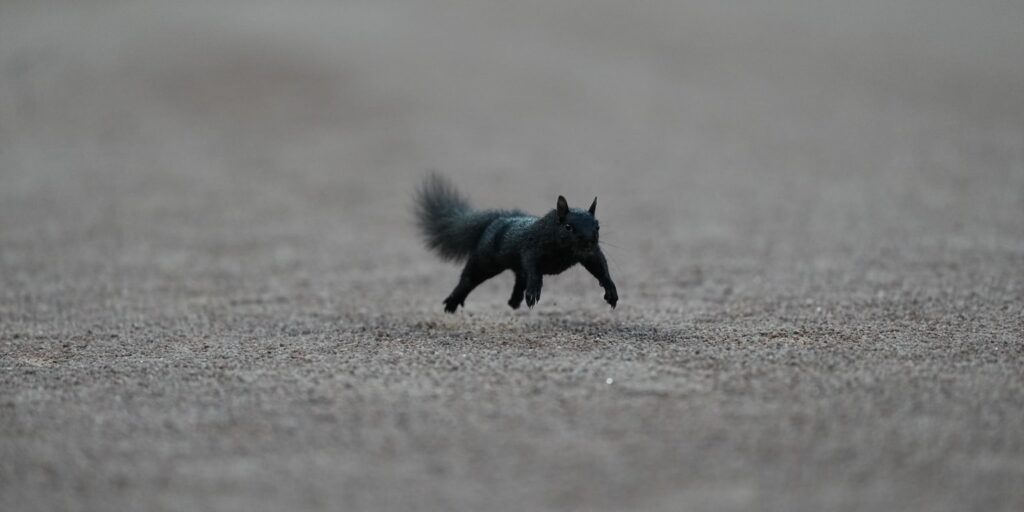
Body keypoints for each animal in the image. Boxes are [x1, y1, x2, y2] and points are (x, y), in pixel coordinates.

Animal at [414, 172, 618, 313]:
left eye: (597, 226)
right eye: (568, 227)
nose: (589, 241)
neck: (566, 249)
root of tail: (498, 220)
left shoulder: (590, 255)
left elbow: (601, 269)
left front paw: (611, 292)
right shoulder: (531, 248)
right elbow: (534, 269)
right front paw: (534, 290)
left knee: (519, 278)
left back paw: (514, 301)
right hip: (485, 260)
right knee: (469, 278)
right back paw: (452, 302)